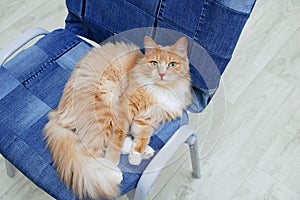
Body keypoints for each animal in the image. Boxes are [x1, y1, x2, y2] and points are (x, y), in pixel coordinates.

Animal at [44, 36, 192, 199]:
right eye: (154, 63)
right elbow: (118, 137)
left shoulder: (146, 120)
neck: (162, 89)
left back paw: (145, 152)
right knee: (91, 152)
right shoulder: (125, 108)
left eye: (172, 64)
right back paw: (113, 173)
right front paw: (114, 159)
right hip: (104, 110)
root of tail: (57, 114)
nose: (161, 74)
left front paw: (136, 156)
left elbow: (142, 138)